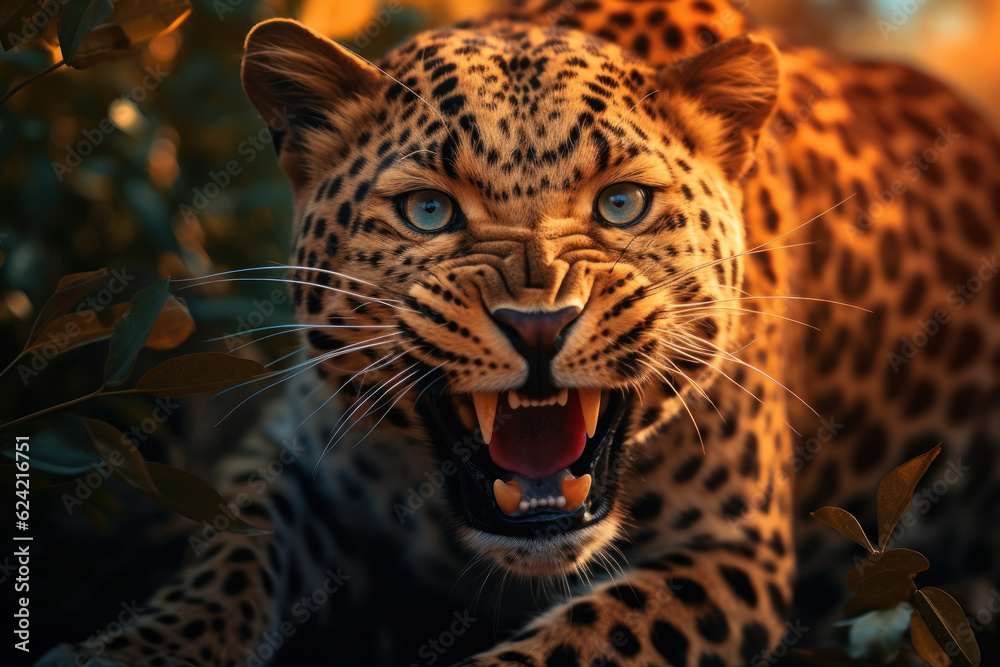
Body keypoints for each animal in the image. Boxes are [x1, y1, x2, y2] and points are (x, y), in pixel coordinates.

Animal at [37, 0, 1000, 665]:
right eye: (429, 211)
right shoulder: (298, 460)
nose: (540, 323)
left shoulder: (733, 550)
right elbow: (222, 561)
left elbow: (591, 633)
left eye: (622, 204)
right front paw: (127, 650)